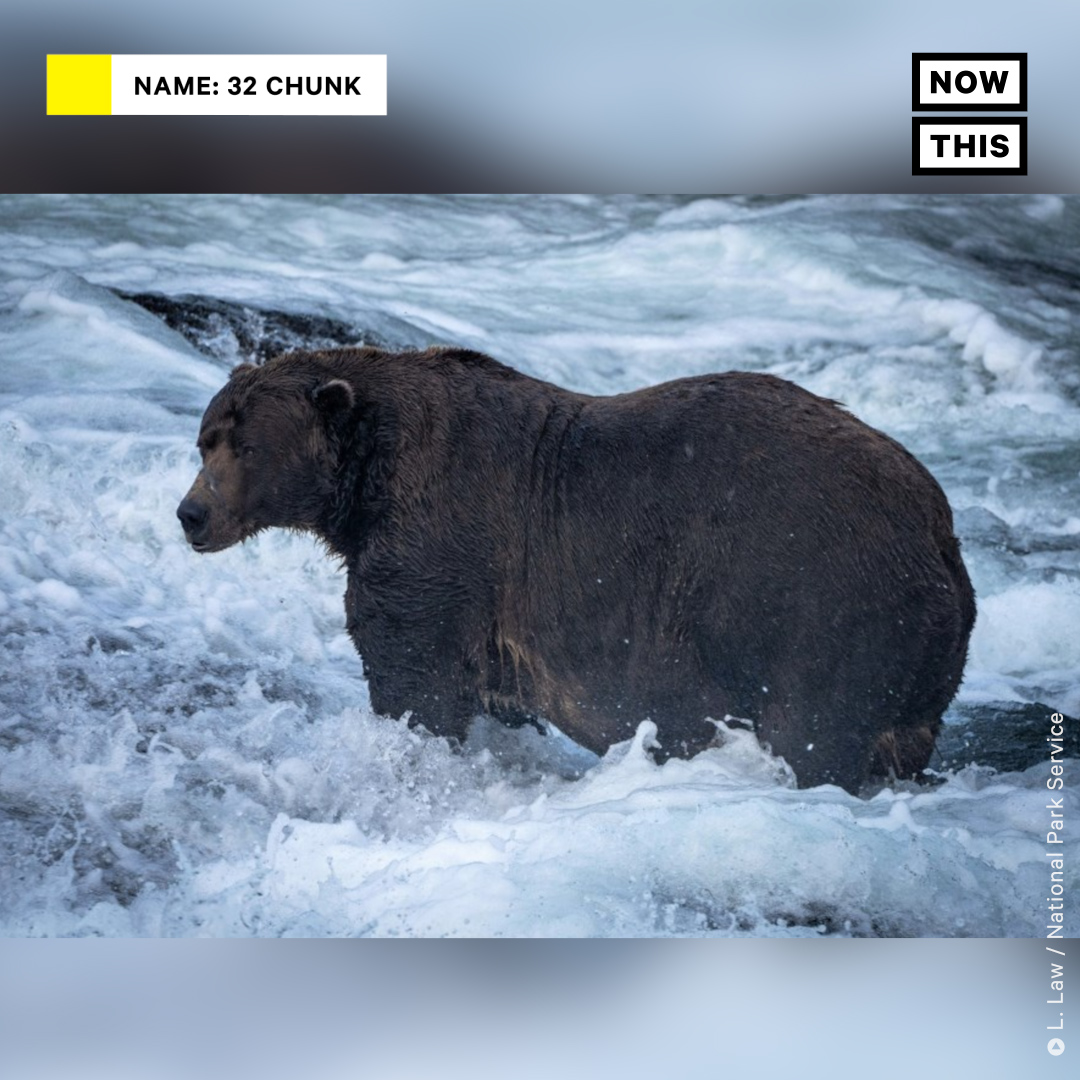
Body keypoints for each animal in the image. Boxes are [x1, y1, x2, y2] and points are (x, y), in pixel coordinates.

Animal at [177, 346, 976, 795]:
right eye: (205, 438)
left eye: (244, 446)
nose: (191, 514)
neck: (367, 482)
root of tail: (940, 532)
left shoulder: (440, 546)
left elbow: (415, 674)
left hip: (820, 607)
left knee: (815, 732)